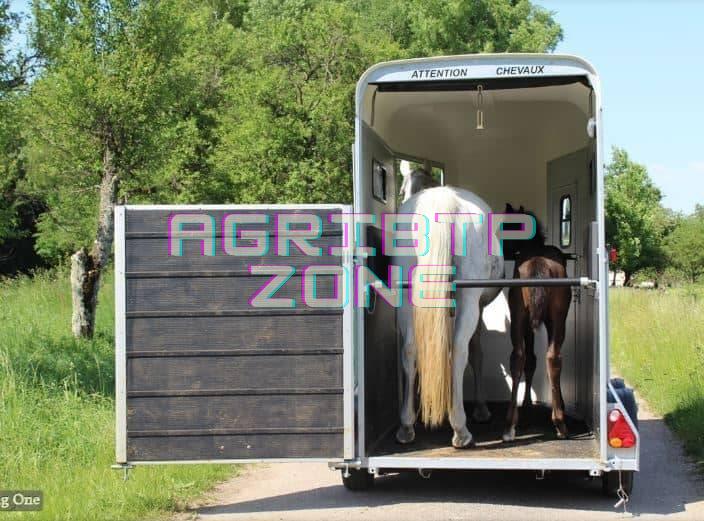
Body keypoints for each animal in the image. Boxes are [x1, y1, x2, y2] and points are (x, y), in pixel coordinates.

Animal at [393, 169, 504, 448]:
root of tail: (442, 202)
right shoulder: (479, 308)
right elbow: (476, 353)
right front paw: (481, 409)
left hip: (406, 296)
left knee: (410, 350)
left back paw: (406, 425)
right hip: (469, 298)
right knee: (459, 349)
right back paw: (461, 428)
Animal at [500, 203, 572, 442]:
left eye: (506, 226)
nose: (502, 251)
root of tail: (539, 264)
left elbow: (529, 360)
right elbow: (532, 360)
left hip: (519, 318)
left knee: (520, 357)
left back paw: (510, 426)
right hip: (557, 320)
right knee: (550, 358)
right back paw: (559, 422)